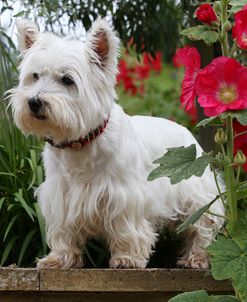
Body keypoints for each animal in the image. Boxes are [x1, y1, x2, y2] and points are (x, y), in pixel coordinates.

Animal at [9, 18, 224, 268]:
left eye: (67, 80)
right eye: (34, 76)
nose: (33, 102)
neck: (80, 144)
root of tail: (187, 133)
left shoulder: (125, 195)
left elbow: (125, 228)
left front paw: (126, 258)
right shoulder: (59, 195)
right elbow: (63, 229)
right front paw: (59, 259)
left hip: (196, 192)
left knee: (203, 224)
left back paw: (196, 257)